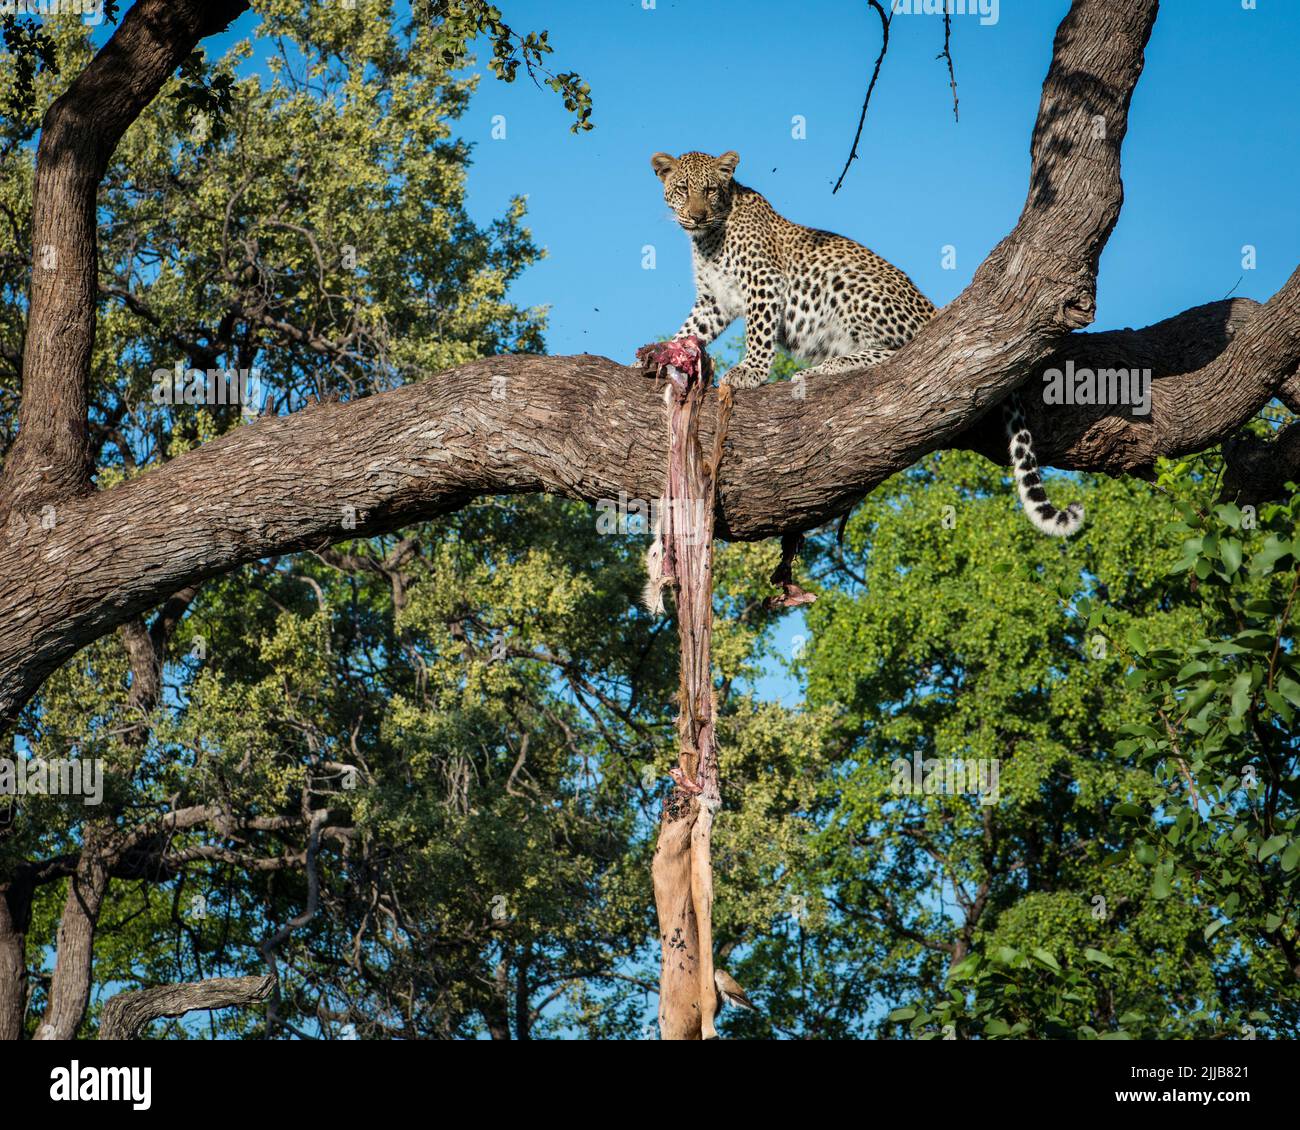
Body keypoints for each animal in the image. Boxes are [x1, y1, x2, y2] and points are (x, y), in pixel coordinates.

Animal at [649, 148, 1084, 542]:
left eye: (710, 189)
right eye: (683, 189)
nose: (697, 215)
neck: (709, 238)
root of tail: (934, 309)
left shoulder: (764, 282)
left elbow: (759, 332)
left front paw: (749, 373)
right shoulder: (714, 301)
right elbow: (691, 330)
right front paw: (660, 355)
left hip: (849, 284)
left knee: (901, 352)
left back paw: (828, 366)